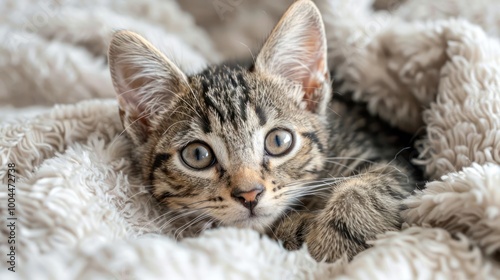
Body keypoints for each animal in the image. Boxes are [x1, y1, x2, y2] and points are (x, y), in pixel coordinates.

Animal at [108, 0, 418, 262]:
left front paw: (329, 247)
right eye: (197, 155)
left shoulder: (394, 157)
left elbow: (372, 186)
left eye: (278, 141)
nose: (249, 195)